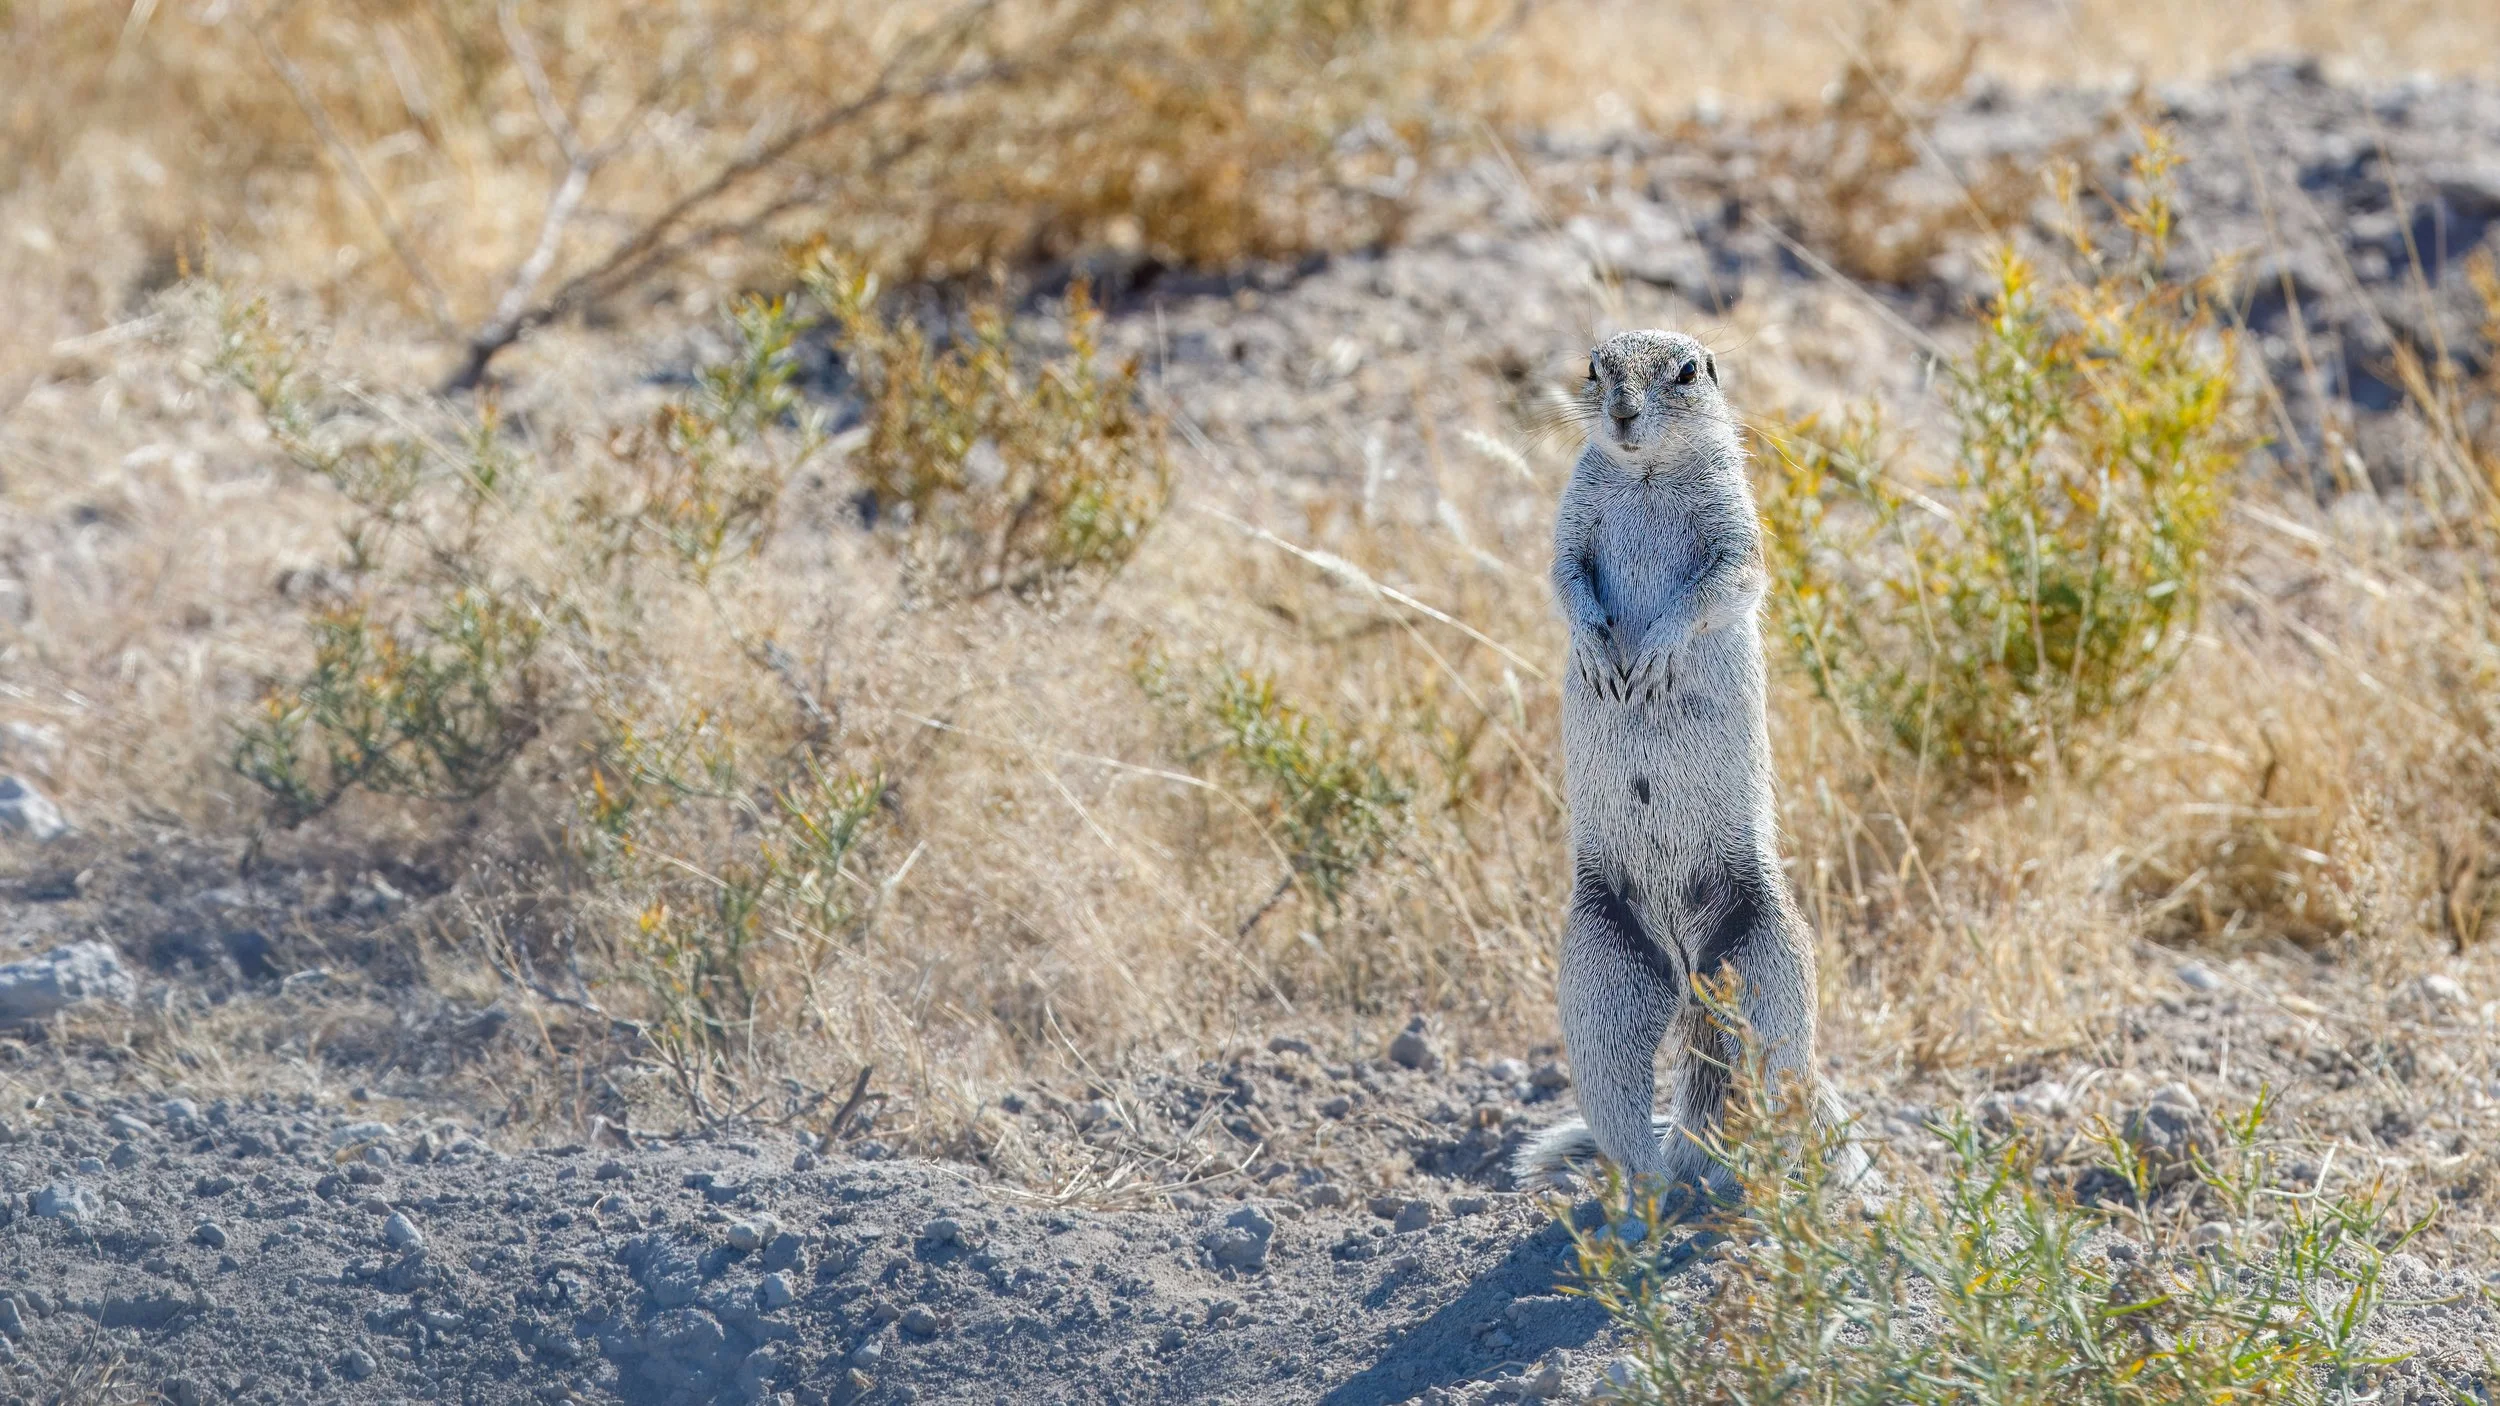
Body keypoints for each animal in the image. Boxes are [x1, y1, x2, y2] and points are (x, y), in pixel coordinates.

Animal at [1512, 330, 1862, 1199]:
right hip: (1597, 981)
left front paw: (1655, 654)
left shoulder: (1737, 532)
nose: (1623, 414)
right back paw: (1654, 1191)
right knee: (1624, 1113)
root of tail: (1686, 965)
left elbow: (1719, 584)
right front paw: (1598, 649)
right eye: (1594, 367)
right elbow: (1565, 578)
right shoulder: (1571, 524)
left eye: (1687, 371)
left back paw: (1752, 1184)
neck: (1646, 476)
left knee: (1773, 1077)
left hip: (1768, 961)